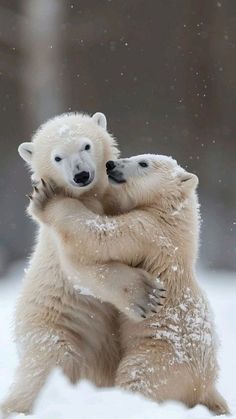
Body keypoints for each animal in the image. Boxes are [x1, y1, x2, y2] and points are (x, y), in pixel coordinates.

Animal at [0, 113, 162, 418]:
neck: (89, 197)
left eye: (86, 145)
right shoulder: (56, 241)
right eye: (57, 157)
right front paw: (144, 296)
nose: (81, 175)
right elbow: (82, 266)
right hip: (56, 326)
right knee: (49, 364)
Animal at [27, 153, 229, 416]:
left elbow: (101, 235)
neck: (174, 216)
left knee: (138, 376)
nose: (110, 164)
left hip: (164, 356)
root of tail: (207, 384)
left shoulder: (149, 230)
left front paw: (47, 196)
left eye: (144, 163)